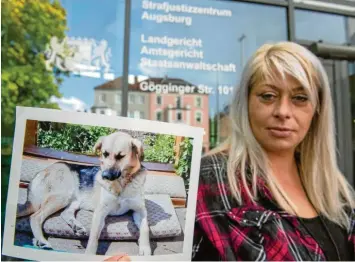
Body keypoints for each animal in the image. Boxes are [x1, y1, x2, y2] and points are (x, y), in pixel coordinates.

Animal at [18, 132, 152, 255]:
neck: (122, 183)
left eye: (120, 156)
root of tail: (41, 172)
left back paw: (75, 226)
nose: (104, 176)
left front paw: (145, 248)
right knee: (35, 217)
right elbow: (93, 238)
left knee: (64, 213)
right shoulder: (100, 212)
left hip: (73, 200)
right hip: (63, 195)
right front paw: (89, 254)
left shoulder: (140, 210)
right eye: (105, 154)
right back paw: (42, 240)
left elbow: (145, 228)